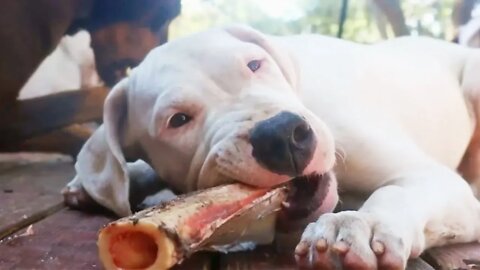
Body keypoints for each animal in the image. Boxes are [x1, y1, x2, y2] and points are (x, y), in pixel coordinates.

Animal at [62, 24, 480, 268]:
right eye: (177, 120)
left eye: (254, 64)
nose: (280, 135)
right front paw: (97, 181)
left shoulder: (431, 179)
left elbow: (398, 193)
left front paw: (363, 225)